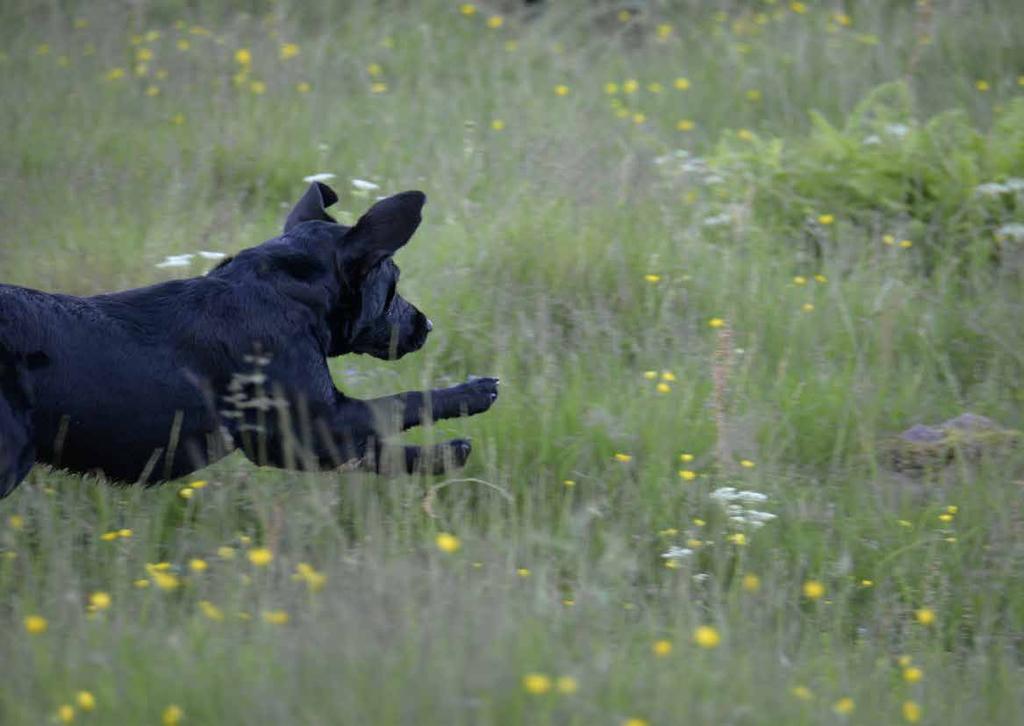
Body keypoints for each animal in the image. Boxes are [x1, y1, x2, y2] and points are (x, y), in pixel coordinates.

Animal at [0, 182, 499, 497]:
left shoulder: (291, 445)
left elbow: (379, 449)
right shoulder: (317, 424)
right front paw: (467, 409)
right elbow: (403, 402)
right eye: (392, 283)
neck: (289, 293)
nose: (426, 326)